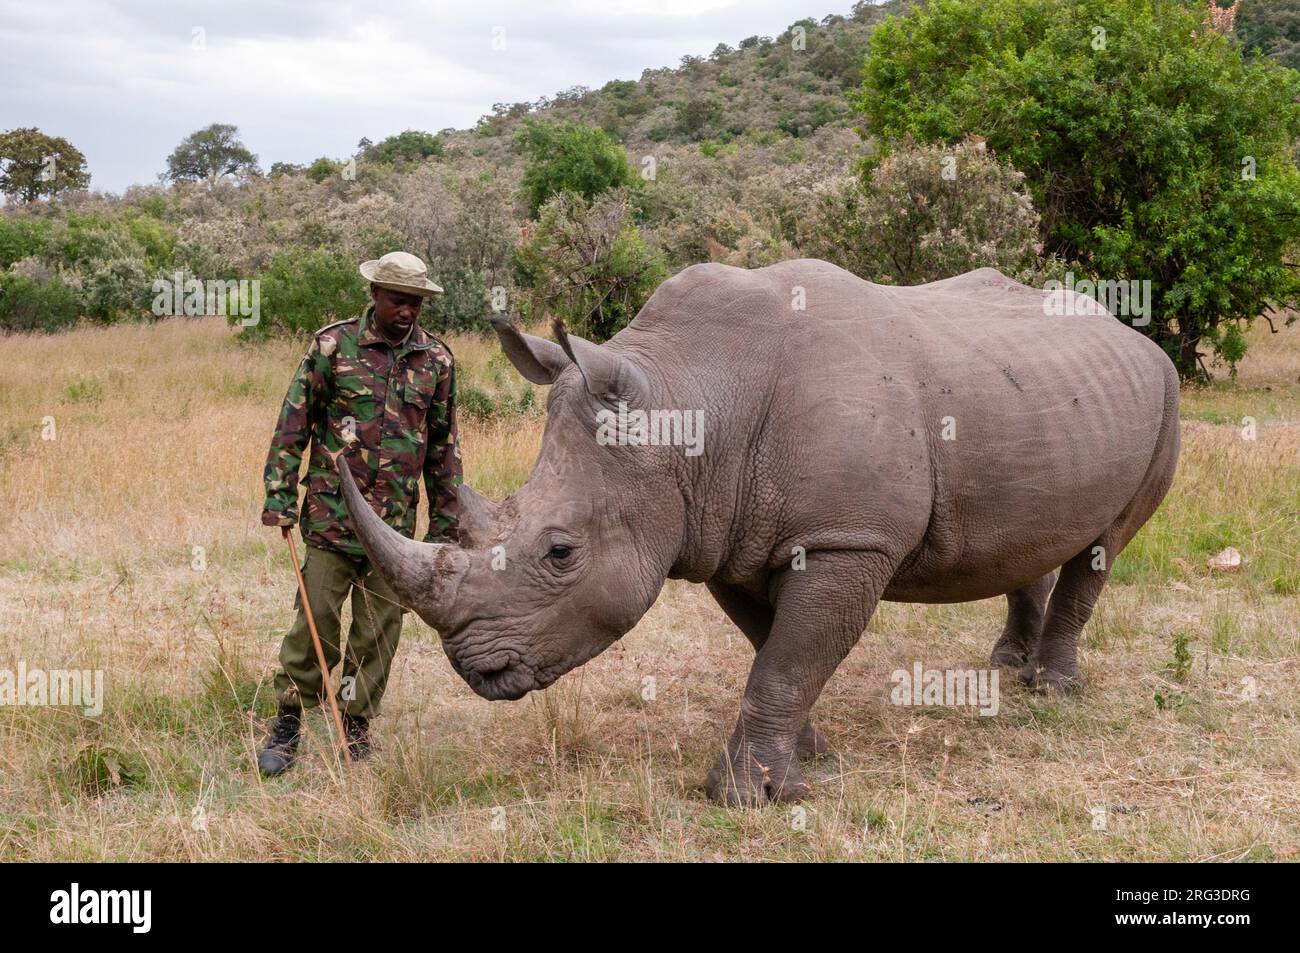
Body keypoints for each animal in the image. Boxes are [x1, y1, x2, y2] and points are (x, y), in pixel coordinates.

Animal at [338, 260, 1180, 805]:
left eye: (560, 551)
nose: (476, 669)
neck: (691, 396)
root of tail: (1131, 333)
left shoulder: (849, 537)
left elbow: (787, 657)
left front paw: (744, 795)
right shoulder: (729, 538)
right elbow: (774, 646)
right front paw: (806, 759)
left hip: (1163, 391)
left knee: (1106, 543)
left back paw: (1051, 688)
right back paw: (1006, 666)